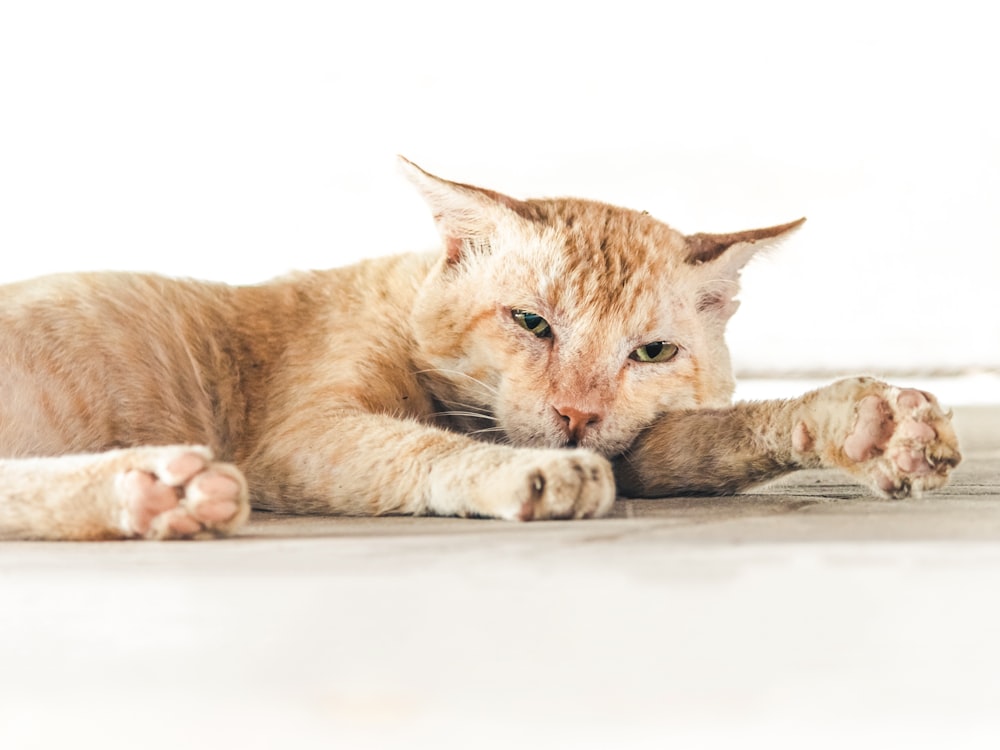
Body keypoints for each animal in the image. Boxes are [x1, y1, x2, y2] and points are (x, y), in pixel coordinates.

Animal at [0, 162, 960, 544]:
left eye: (652, 351)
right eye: (531, 323)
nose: (576, 413)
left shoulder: (642, 447)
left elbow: (716, 438)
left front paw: (868, 424)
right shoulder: (301, 437)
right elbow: (417, 450)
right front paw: (523, 474)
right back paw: (157, 487)